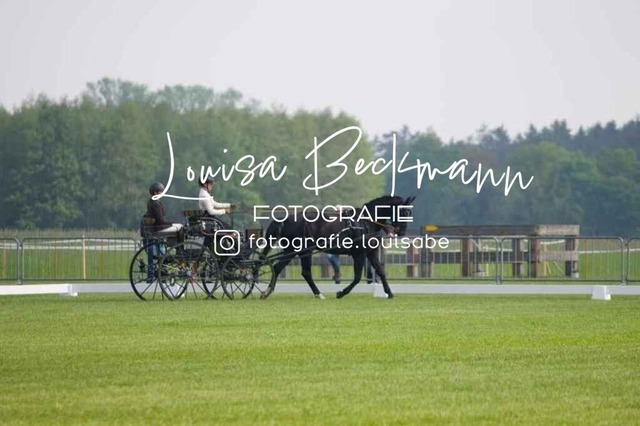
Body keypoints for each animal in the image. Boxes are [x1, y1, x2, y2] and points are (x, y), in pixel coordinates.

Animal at [261, 195, 415, 299]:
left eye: (409, 213)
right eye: (403, 212)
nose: (402, 232)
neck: (366, 221)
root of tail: (286, 219)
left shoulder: (371, 252)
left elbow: (381, 271)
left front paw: (389, 293)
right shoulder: (359, 254)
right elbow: (357, 277)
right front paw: (341, 293)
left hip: (292, 250)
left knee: (277, 268)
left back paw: (267, 292)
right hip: (304, 250)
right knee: (305, 272)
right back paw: (318, 294)